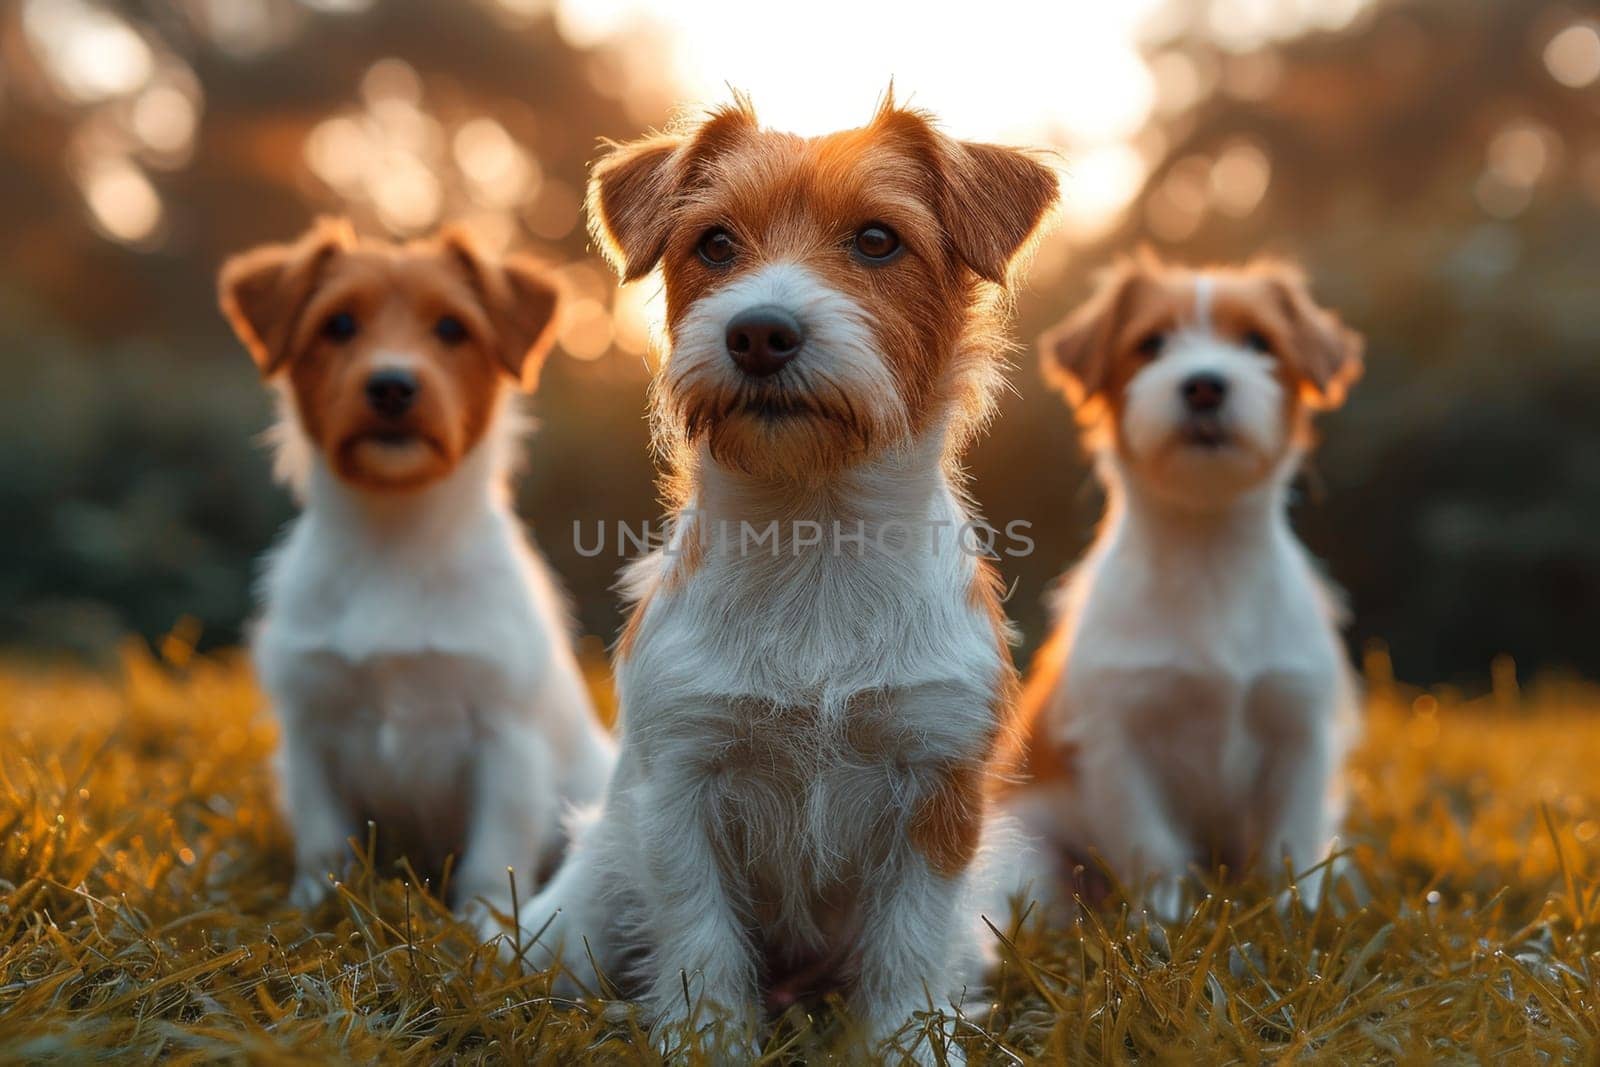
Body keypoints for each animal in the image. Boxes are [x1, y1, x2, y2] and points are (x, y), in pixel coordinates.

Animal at [212, 219, 611, 927]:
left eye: (451, 328)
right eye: (339, 324)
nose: (392, 385)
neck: (395, 539)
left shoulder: (506, 737)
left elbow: (493, 852)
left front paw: (483, 924)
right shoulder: (309, 728)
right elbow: (323, 840)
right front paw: (315, 908)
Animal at [515, 97, 1062, 1062]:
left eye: (878, 240)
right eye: (715, 243)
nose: (759, 330)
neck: (816, 537)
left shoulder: (937, 782)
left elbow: (908, 946)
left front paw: (909, 1045)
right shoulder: (682, 783)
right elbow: (700, 939)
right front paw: (708, 1041)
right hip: (585, 904)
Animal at [998, 254, 1363, 921]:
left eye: (1258, 343)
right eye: (1151, 344)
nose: (1204, 385)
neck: (1205, 549)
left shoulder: (1299, 726)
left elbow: (1291, 842)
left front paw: (1296, 917)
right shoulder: (1120, 739)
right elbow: (1155, 850)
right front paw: (1163, 924)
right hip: (1024, 856)